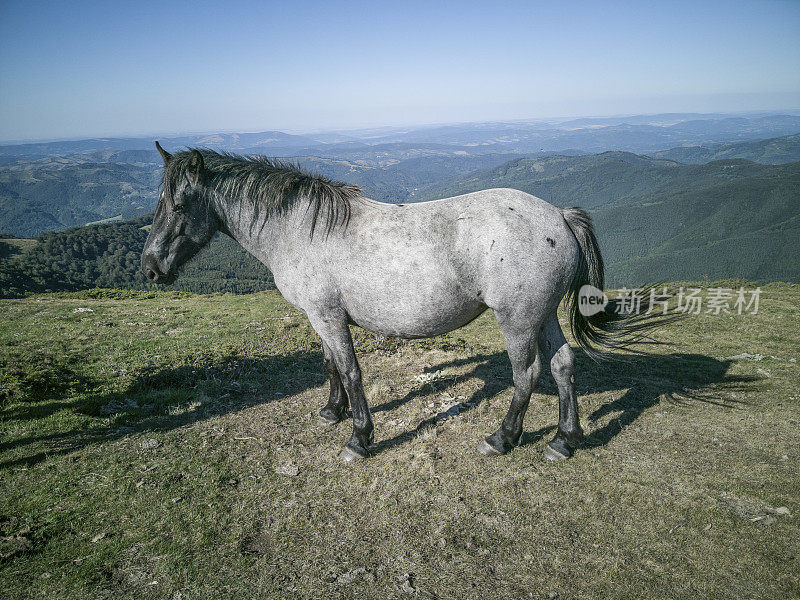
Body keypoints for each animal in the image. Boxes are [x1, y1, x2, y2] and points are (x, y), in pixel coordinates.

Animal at [142, 144, 668, 464]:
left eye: (177, 204)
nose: (150, 267)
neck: (300, 228)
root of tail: (558, 215)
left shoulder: (328, 316)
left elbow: (350, 370)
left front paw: (359, 438)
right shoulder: (322, 316)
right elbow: (330, 365)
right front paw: (331, 411)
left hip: (518, 320)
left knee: (528, 374)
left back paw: (502, 437)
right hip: (542, 317)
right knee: (562, 366)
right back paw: (563, 440)